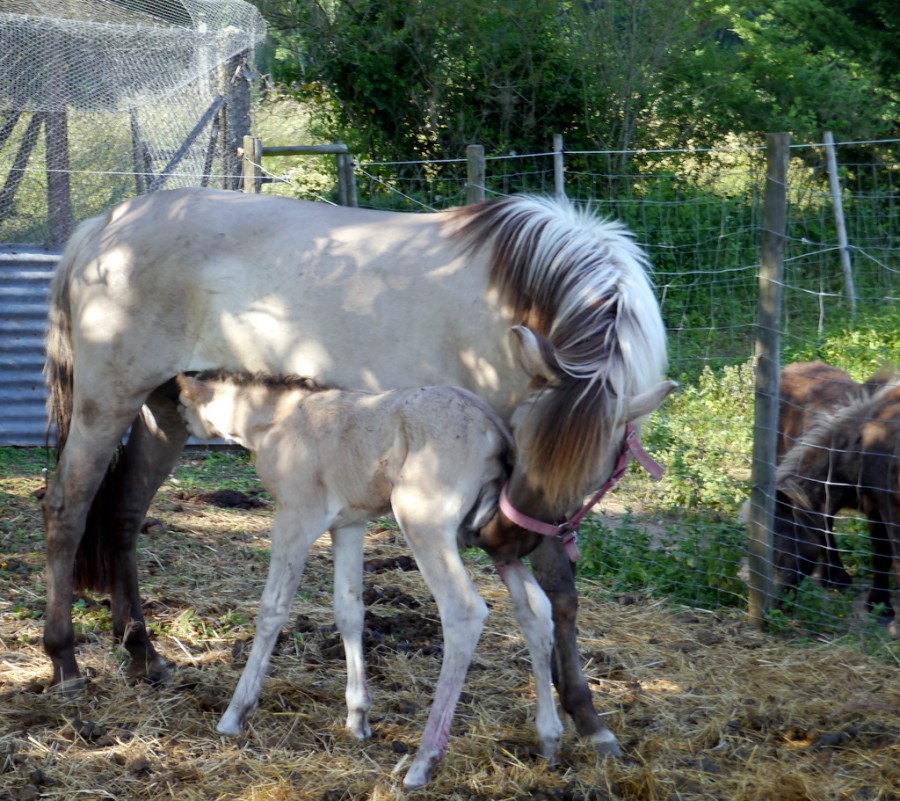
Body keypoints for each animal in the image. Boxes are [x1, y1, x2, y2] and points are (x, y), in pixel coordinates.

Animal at [176, 368, 564, 788]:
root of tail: (495, 428)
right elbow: (349, 609)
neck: (277, 419)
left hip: (423, 522)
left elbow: (272, 610)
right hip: (492, 538)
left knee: (463, 611)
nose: (186, 432)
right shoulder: (348, 524)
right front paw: (358, 718)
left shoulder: (295, 517)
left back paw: (423, 761)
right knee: (536, 610)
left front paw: (235, 713)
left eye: (180, 405)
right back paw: (549, 738)